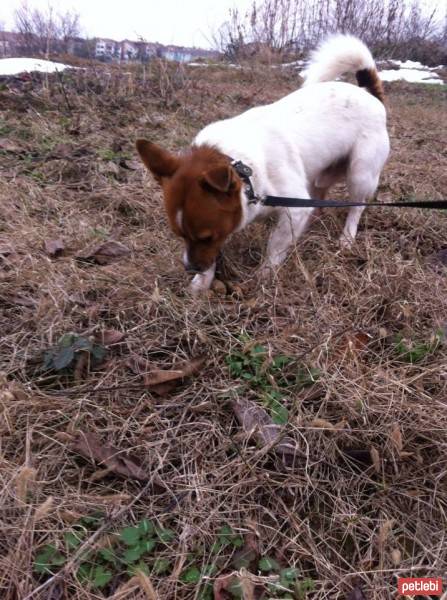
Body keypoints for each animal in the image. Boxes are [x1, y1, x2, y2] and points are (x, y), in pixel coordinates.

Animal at [138, 34, 390, 292]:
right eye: (178, 234)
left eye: (207, 237)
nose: (191, 268)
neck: (244, 170)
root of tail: (369, 93)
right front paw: (203, 281)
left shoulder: (293, 209)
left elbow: (275, 246)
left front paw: (265, 275)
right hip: (321, 174)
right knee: (319, 194)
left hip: (360, 173)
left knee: (356, 206)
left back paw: (347, 237)